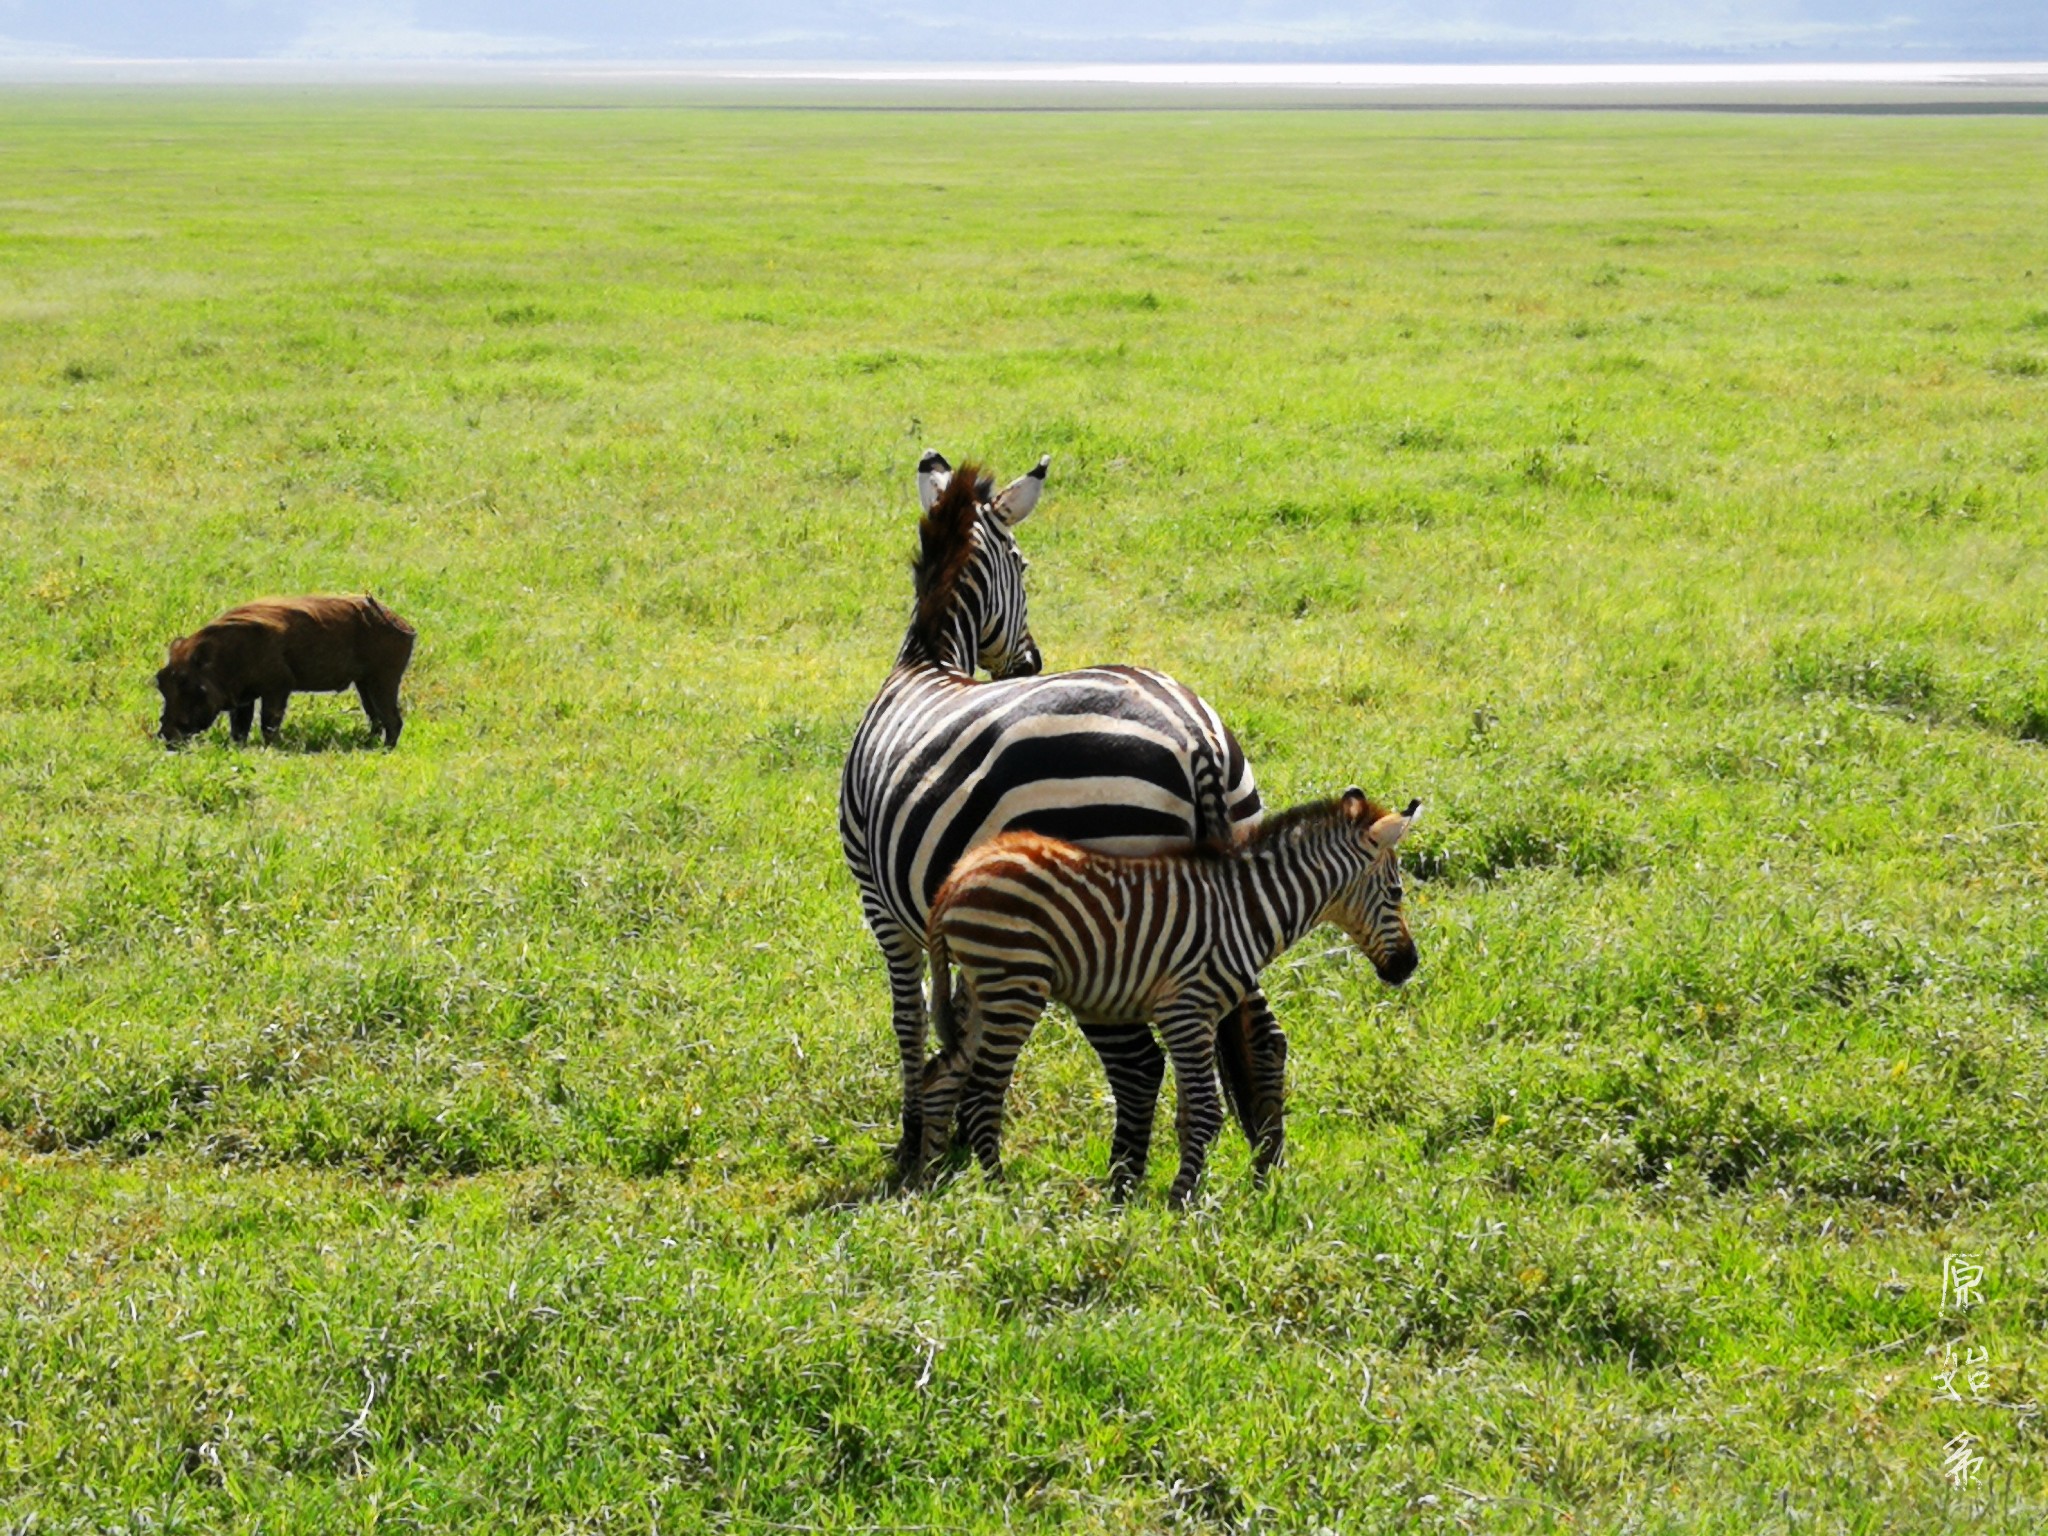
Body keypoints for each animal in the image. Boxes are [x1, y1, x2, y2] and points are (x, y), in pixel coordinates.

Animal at [831, 456, 1277, 1187]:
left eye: (1024, 563)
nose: (1032, 662)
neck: (927, 660)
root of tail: (1191, 738)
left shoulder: (883, 907)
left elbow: (911, 1018)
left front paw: (914, 1136)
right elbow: (961, 1017)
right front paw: (954, 1128)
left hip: (1110, 927)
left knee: (1139, 1063)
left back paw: (1123, 1182)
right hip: (1234, 894)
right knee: (1263, 1037)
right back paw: (1267, 1168)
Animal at [929, 794, 1425, 1204]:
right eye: (1397, 892)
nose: (1409, 965)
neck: (1247, 910)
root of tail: (956, 878)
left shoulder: (1197, 1018)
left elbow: (1190, 1118)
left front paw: (1187, 1198)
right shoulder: (1186, 1011)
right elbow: (1206, 1113)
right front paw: (1180, 1203)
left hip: (984, 990)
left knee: (943, 1073)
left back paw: (937, 1182)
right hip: (1015, 986)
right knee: (982, 1095)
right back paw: (1001, 1194)